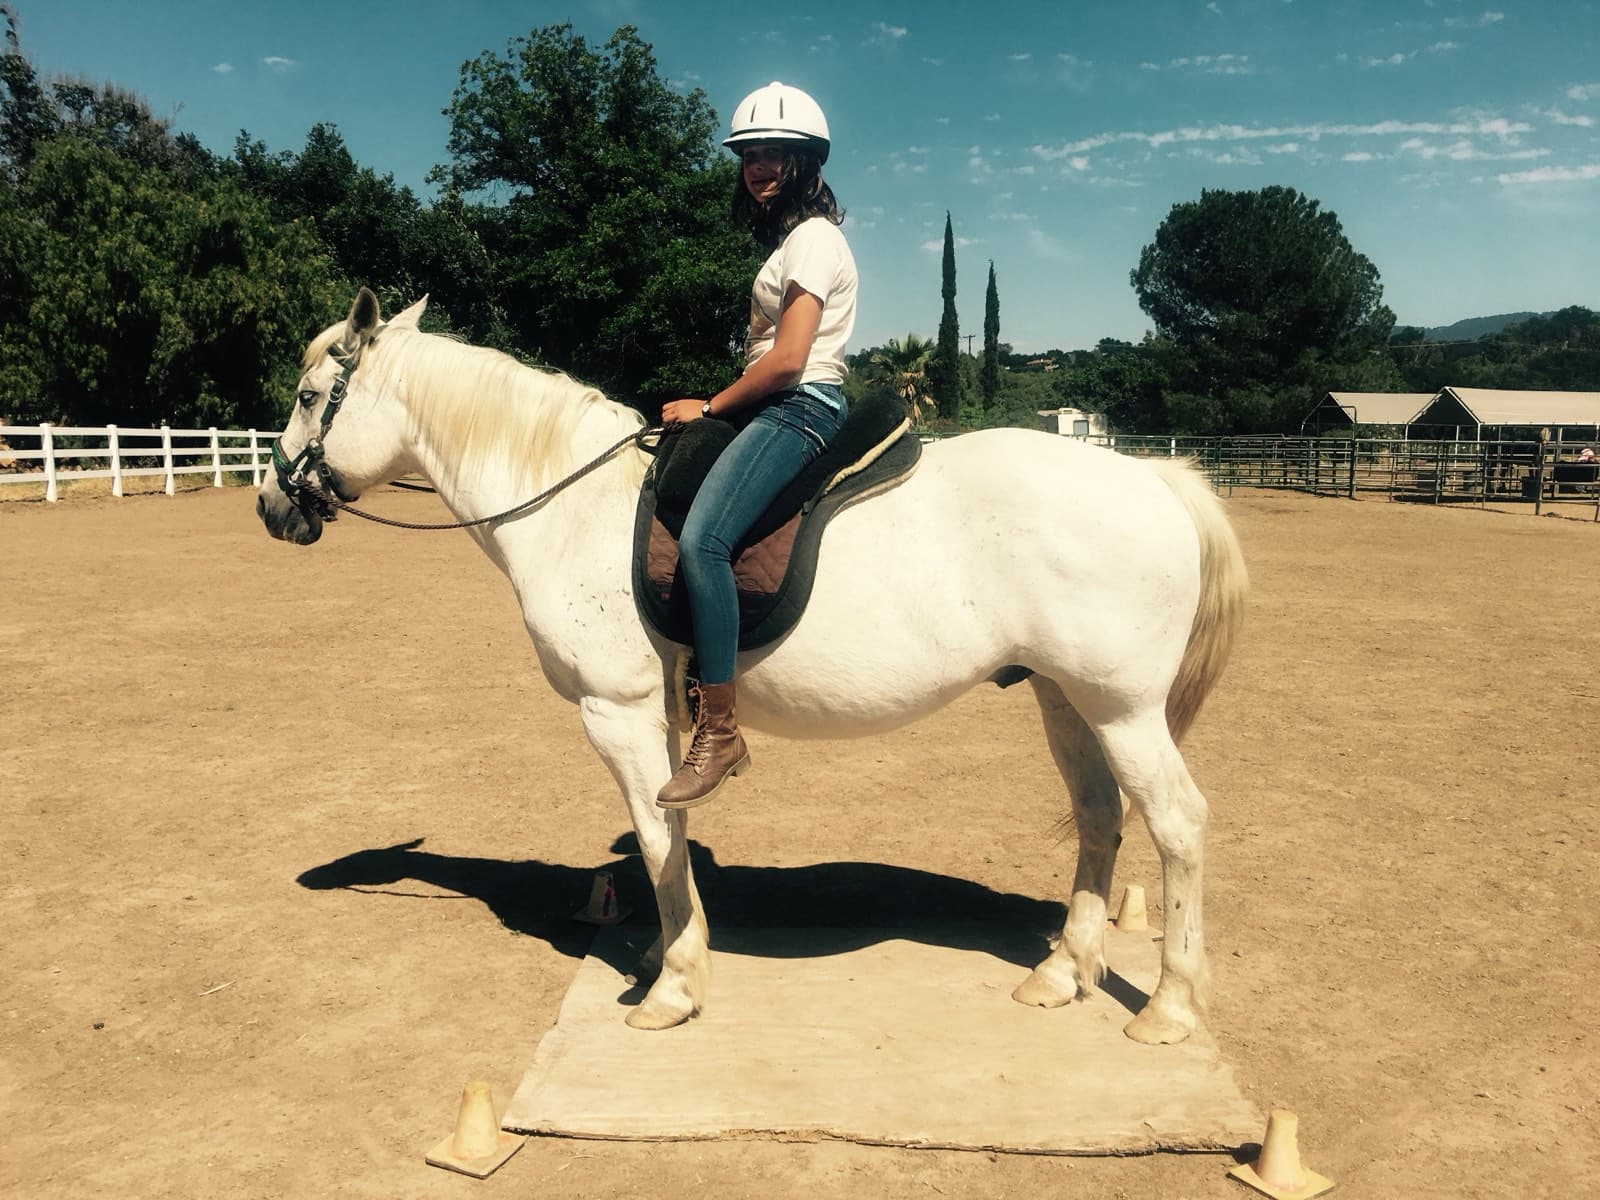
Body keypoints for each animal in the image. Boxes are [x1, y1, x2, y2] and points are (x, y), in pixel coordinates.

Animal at [256, 289, 1247, 1045]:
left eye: (307, 396)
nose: (272, 503)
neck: (572, 502)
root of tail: (1153, 478)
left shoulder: (615, 713)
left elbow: (656, 837)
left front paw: (671, 987)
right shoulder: (660, 720)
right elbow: (671, 835)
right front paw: (669, 953)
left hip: (1122, 710)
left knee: (1178, 824)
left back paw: (1168, 1009)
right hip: (1065, 699)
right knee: (1100, 817)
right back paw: (1064, 970)